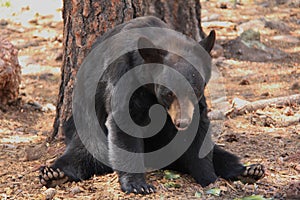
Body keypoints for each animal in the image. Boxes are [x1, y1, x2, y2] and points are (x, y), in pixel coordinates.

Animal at [38, 16, 264, 195]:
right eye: (168, 93)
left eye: (196, 90)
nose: (182, 123)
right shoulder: (123, 76)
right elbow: (125, 124)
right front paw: (138, 185)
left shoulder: (196, 105)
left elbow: (199, 135)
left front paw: (209, 178)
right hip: (88, 131)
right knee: (80, 154)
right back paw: (54, 174)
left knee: (220, 154)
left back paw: (249, 170)